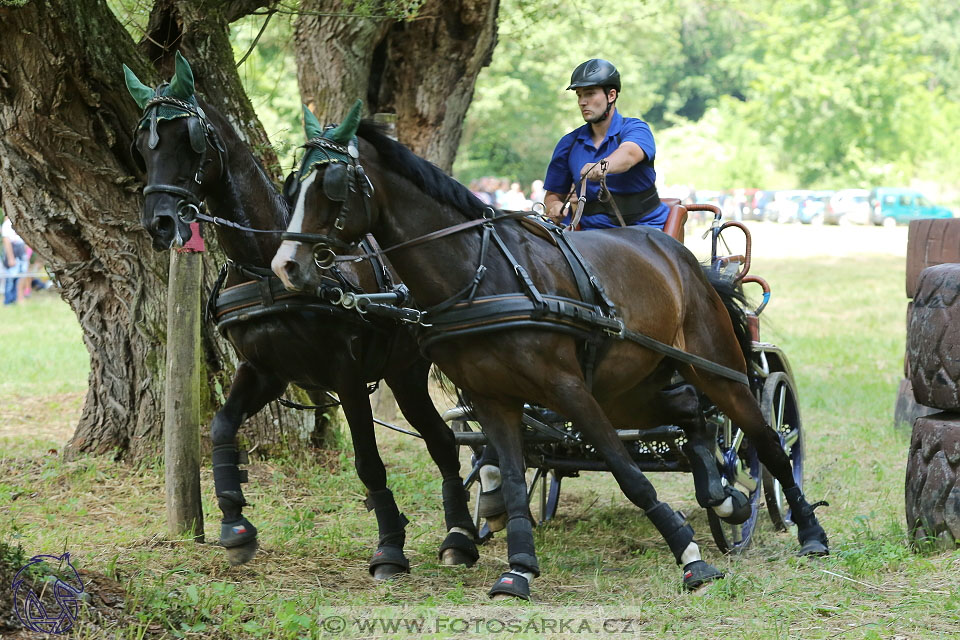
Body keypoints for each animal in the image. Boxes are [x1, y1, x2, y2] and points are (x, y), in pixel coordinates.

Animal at [274, 100, 828, 600]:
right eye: (291, 184)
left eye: (332, 185)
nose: (285, 266)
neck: (484, 275)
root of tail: (685, 259)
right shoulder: (492, 398)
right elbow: (513, 478)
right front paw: (517, 568)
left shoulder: (569, 390)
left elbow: (629, 473)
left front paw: (691, 559)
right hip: (635, 388)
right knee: (690, 415)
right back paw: (722, 495)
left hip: (718, 370)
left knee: (764, 440)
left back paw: (805, 529)